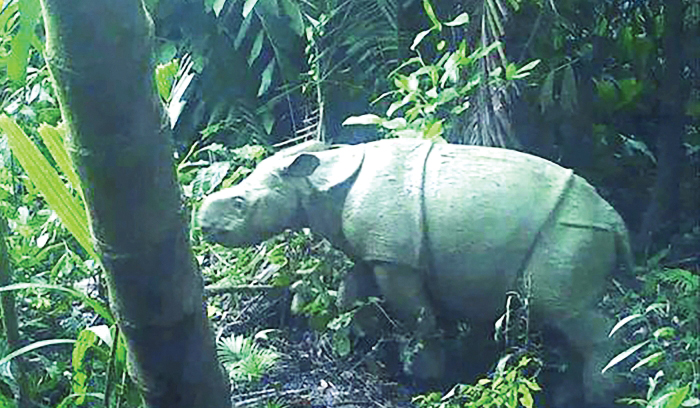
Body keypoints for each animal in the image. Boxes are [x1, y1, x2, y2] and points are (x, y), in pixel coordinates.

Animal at [198, 139, 636, 406]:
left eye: (240, 203)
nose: (201, 223)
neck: (315, 180)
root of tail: (616, 220)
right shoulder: (375, 252)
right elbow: (351, 292)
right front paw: (352, 345)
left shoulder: (397, 259)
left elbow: (417, 315)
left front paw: (422, 377)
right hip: (575, 230)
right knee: (562, 314)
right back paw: (570, 396)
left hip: (570, 230)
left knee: (565, 310)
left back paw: (602, 395)